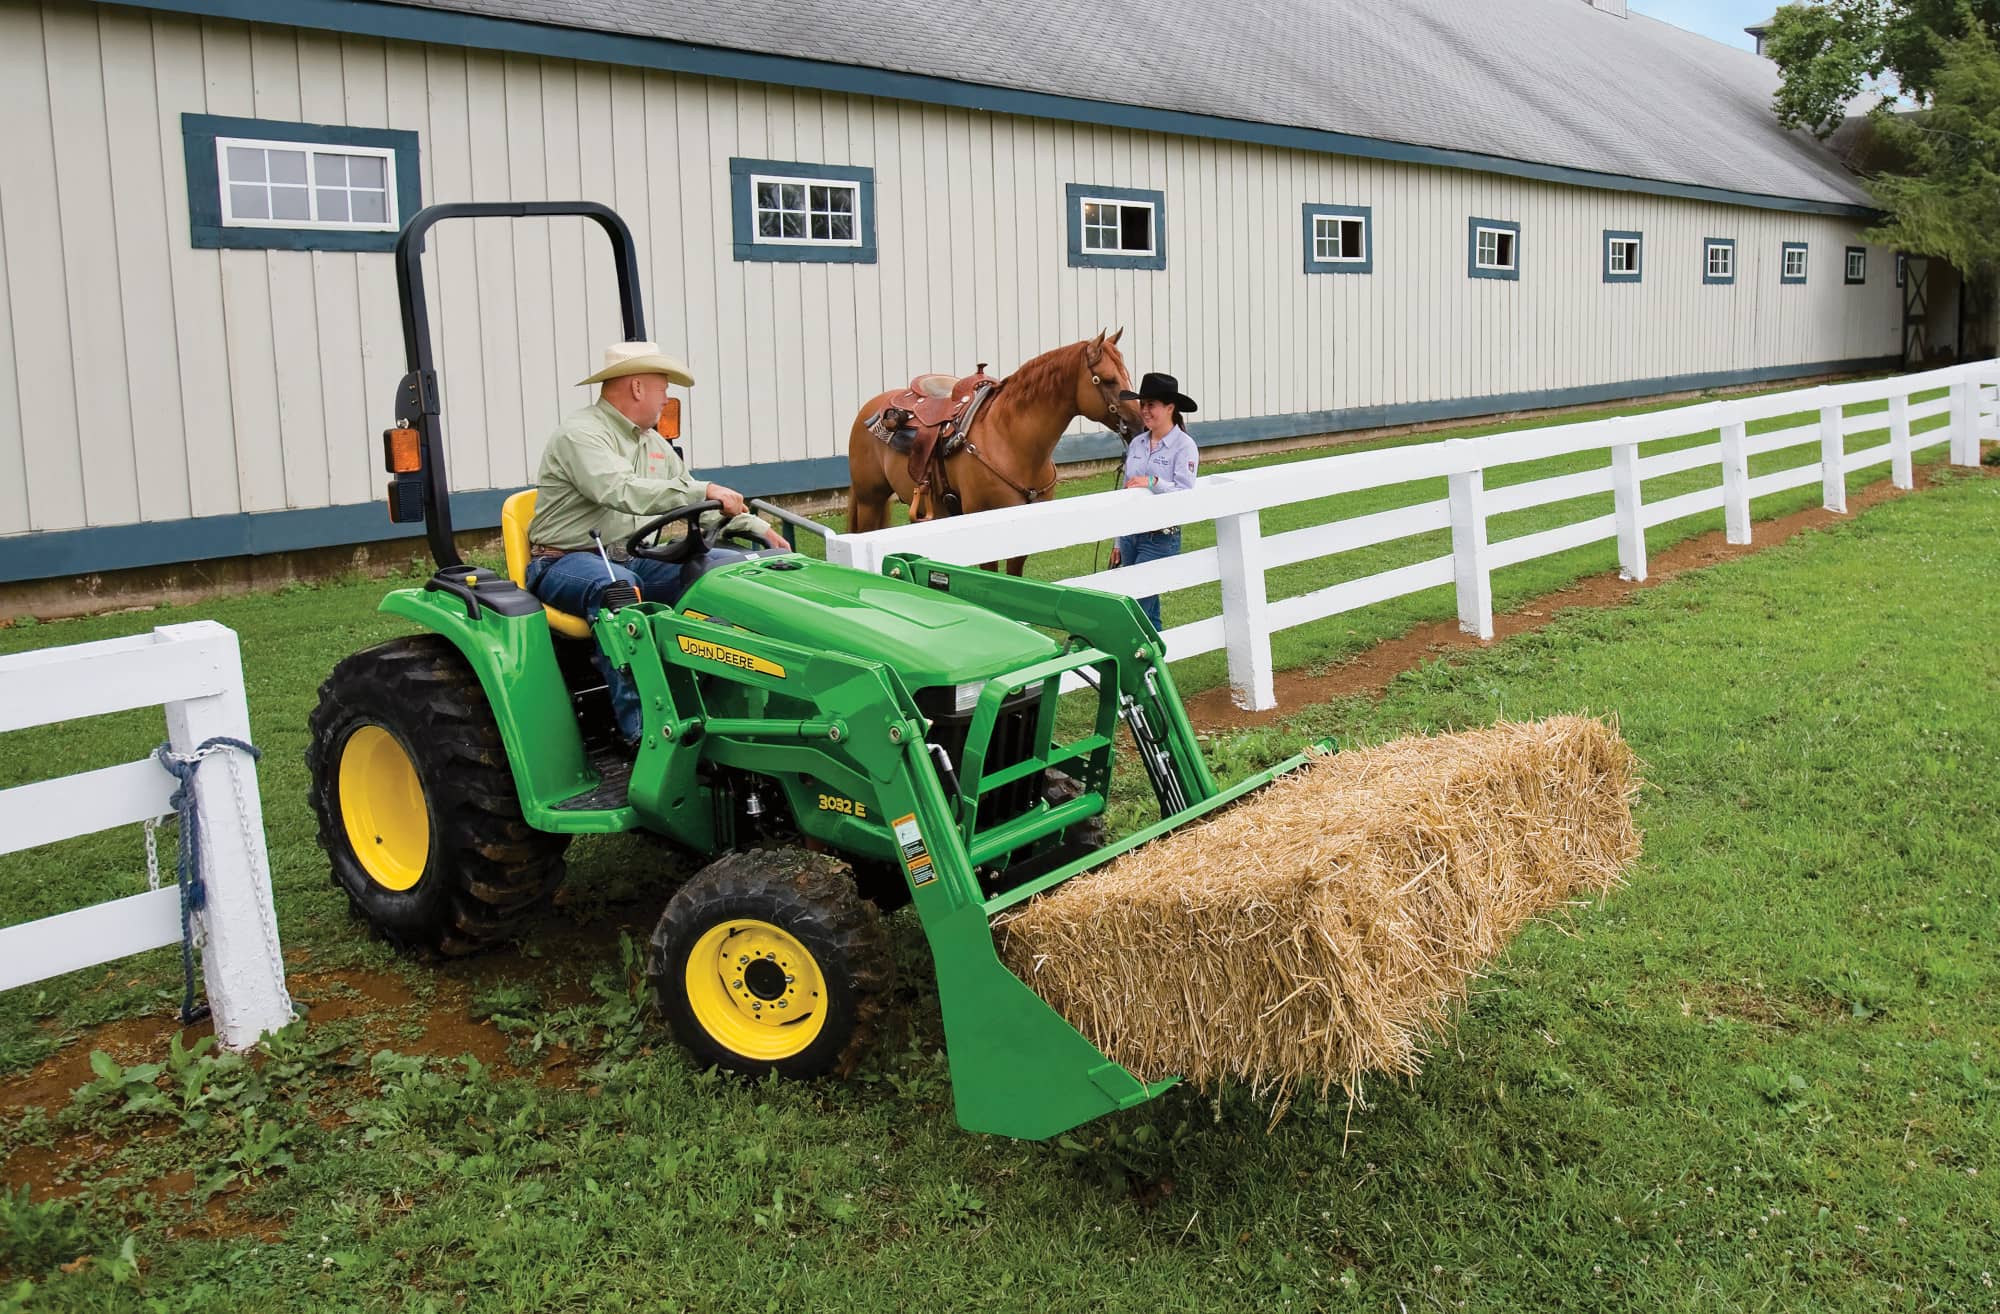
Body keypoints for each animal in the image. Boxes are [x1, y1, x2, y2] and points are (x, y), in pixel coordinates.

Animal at [844, 326, 1144, 568]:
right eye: (1107, 379)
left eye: (1126, 375)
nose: (1140, 425)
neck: (1010, 440)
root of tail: (868, 409)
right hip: (870, 500)